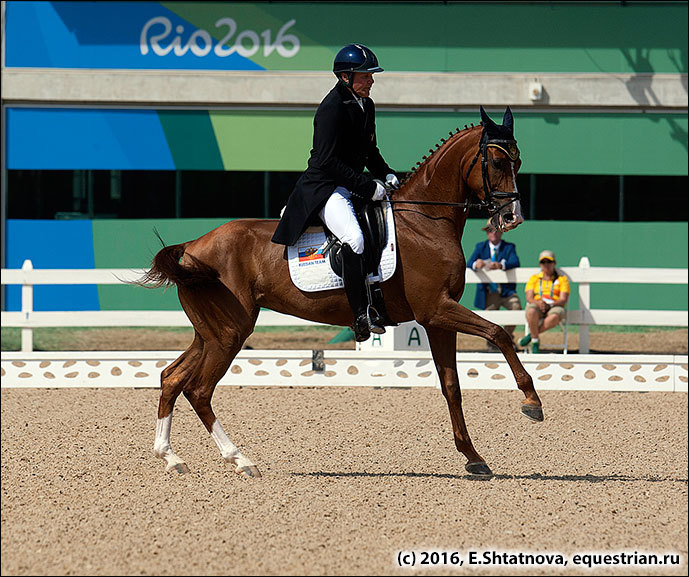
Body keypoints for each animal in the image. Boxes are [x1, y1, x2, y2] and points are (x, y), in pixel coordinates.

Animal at [137, 106, 540, 480]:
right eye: (497, 161)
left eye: (518, 161)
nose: (512, 218)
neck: (425, 222)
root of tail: (192, 246)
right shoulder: (437, 309)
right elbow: (499, 333)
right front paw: (531, 401)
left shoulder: (437, 319)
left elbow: (452, 386)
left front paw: (473, 457)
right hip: (230, 333)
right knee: (200, 390)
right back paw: (240, 460)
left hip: (210, 333)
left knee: (172, 378)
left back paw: (171, 456)